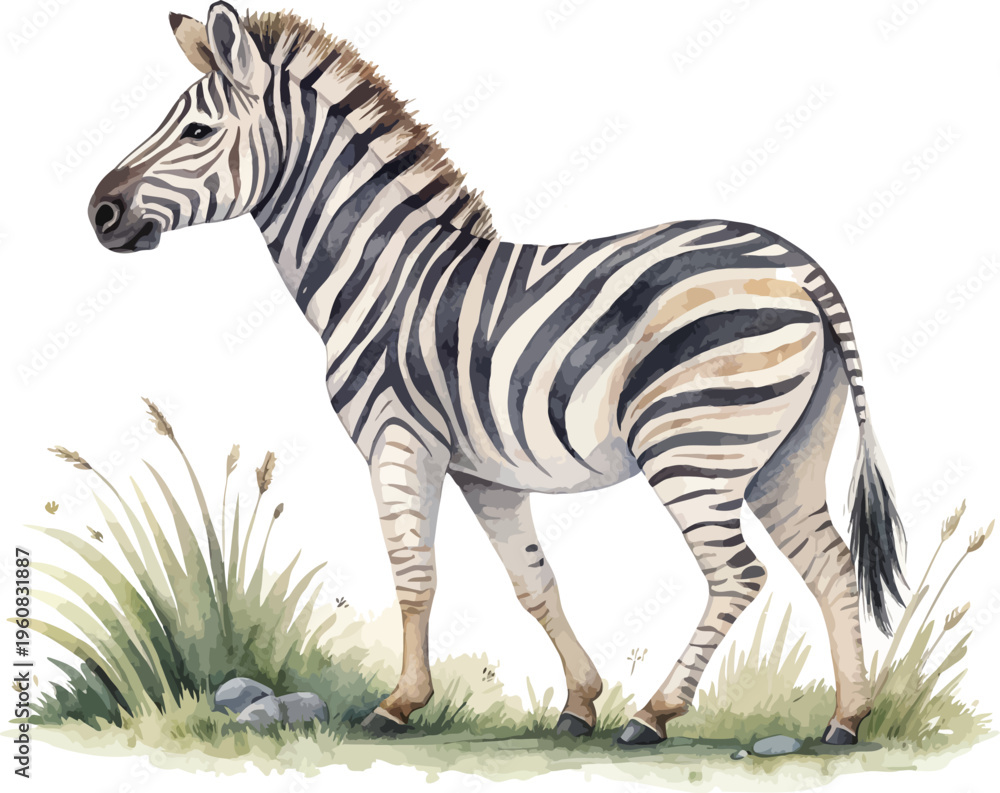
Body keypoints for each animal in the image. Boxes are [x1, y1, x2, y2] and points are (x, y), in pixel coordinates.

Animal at [88, 3, 905, 747]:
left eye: (197, 132)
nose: (99, 212)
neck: (381, 273)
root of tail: (801, 269)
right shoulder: (487, 470)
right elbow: (533, 582)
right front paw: (578, 704)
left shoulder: (399, 438)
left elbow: (413, 571)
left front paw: (399, 703)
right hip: (785, 452)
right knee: (831, 564)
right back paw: (845, 719)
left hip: (693, 442)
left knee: (738, 574)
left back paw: (654, 714)